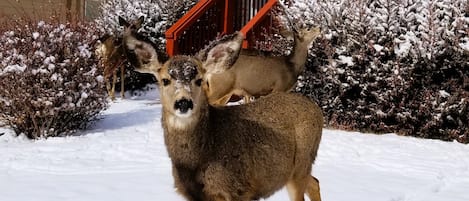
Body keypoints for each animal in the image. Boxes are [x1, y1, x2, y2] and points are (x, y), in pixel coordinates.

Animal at [122, 22, 324, 201]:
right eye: (165, 80)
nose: (183, 103)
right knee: (315, 182)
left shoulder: (239, 189)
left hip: (301, 164)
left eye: (198, 79)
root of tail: (317, 110)